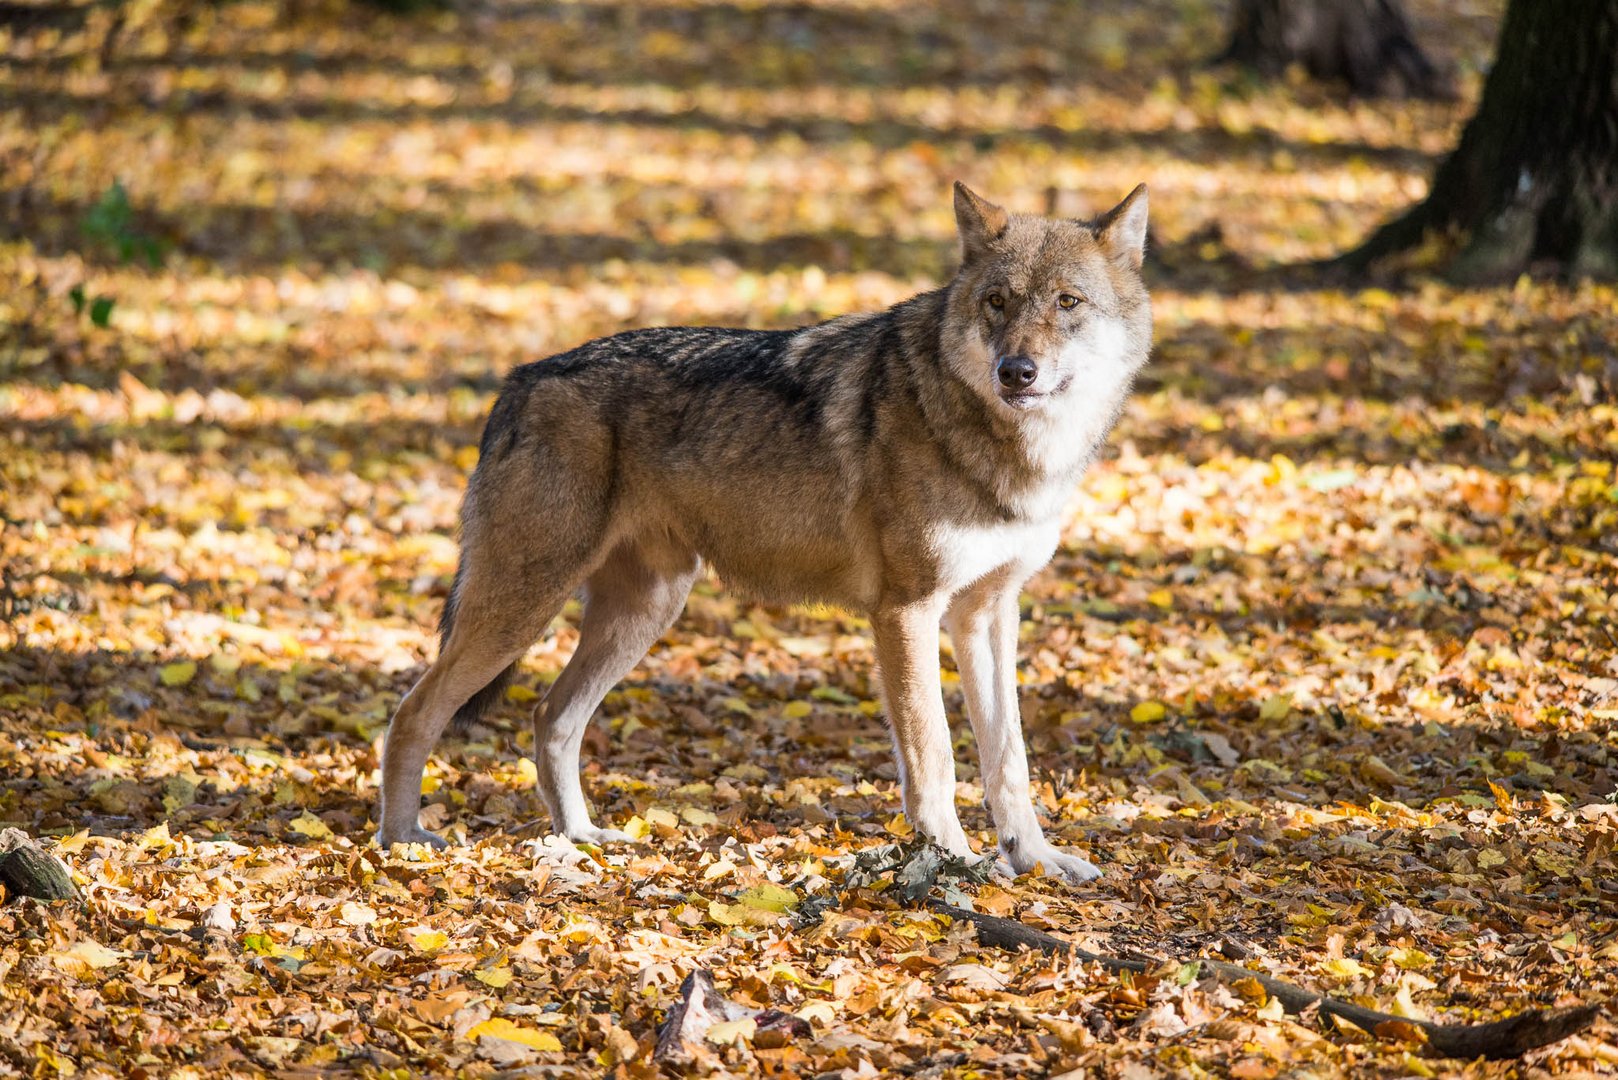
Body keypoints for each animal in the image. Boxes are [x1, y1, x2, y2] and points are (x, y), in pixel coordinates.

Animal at [375, 181, 1152, 880]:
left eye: (1067, 303)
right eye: (997, 302)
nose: (1016, 371)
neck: (1009, 452)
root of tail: (518, 380)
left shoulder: (987, 613)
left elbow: (1007, 758)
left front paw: (1034, 858)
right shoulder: (906, 612)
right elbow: (934, 753)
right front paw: (953, 859)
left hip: (642, 613)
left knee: (550, 718)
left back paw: (583, 838)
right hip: (525, 607)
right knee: (413, 713)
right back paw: (402, 842)